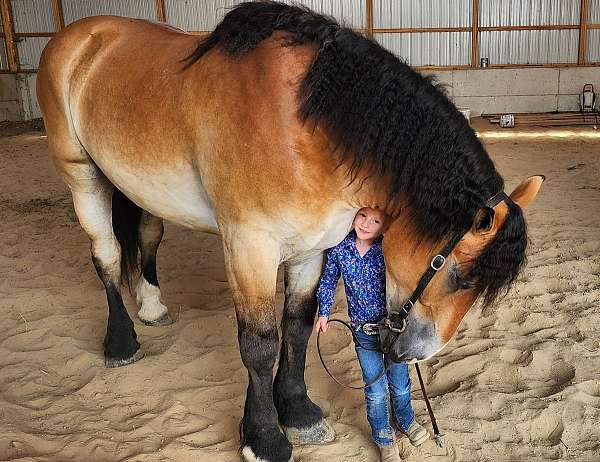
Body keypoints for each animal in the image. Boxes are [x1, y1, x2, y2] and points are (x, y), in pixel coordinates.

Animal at [37, 1, 544, 460]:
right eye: (457, 274)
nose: (415, 355)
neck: (308, 130)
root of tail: (80, 36)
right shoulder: (249, 247)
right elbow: (260, 345)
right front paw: (264, 438)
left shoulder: (312, 249)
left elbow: (297, 328)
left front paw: (298, 413)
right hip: (82, 177)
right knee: (105, 257)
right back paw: (121, 342)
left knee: (147, 238)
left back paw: (153, 306)